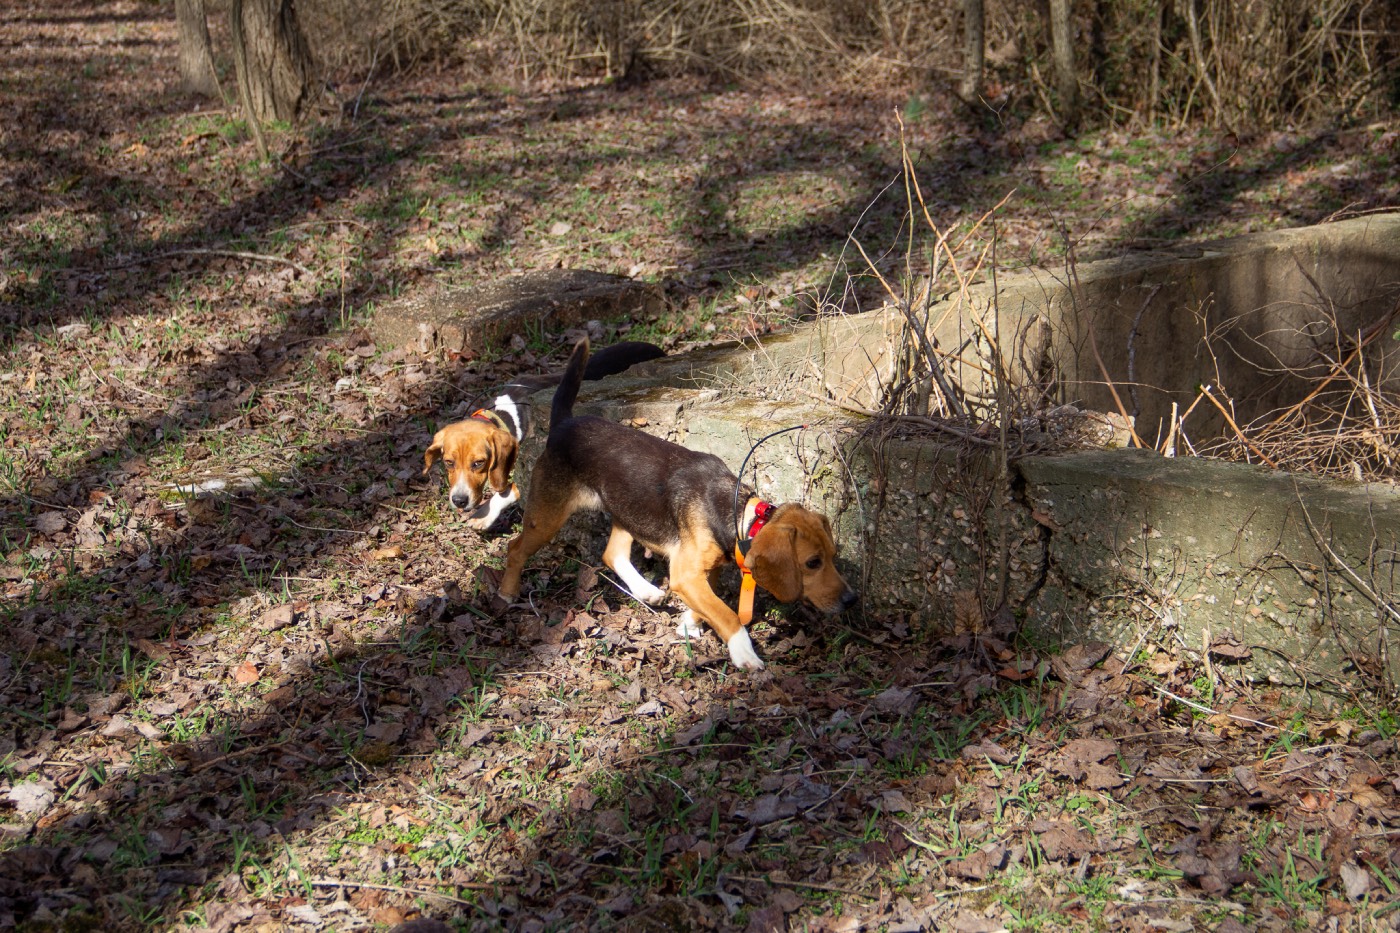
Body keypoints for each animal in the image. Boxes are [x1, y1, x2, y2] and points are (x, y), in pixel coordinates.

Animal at [422, 340, 663, 529]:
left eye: (478, 463)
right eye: (448, 462)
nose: (459, 501)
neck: (507, 412)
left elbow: (508, 491)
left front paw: (485, 515)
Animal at [498, 337, 856, 664]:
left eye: (833, 555)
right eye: (812, 563)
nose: (851, 600)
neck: (736, 511)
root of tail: (563, 422)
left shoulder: (702, 571)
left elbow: (708, 606)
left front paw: (688, 624)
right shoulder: (687, 573)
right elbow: (726, 614)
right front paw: (743, 652)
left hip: (629, 510)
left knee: (612, 553)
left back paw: (645, 591)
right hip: (546, 517)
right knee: (515, 549)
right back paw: (507, 592)